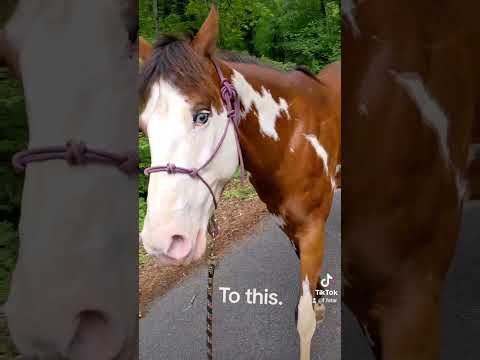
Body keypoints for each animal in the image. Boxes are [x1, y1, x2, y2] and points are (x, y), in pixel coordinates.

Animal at [139, 6, 342, 360]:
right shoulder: (290, 226)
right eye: (143, 128)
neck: (294, 137)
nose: (162, 242)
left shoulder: (312, 227)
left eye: (202, 115)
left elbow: (304, 321)